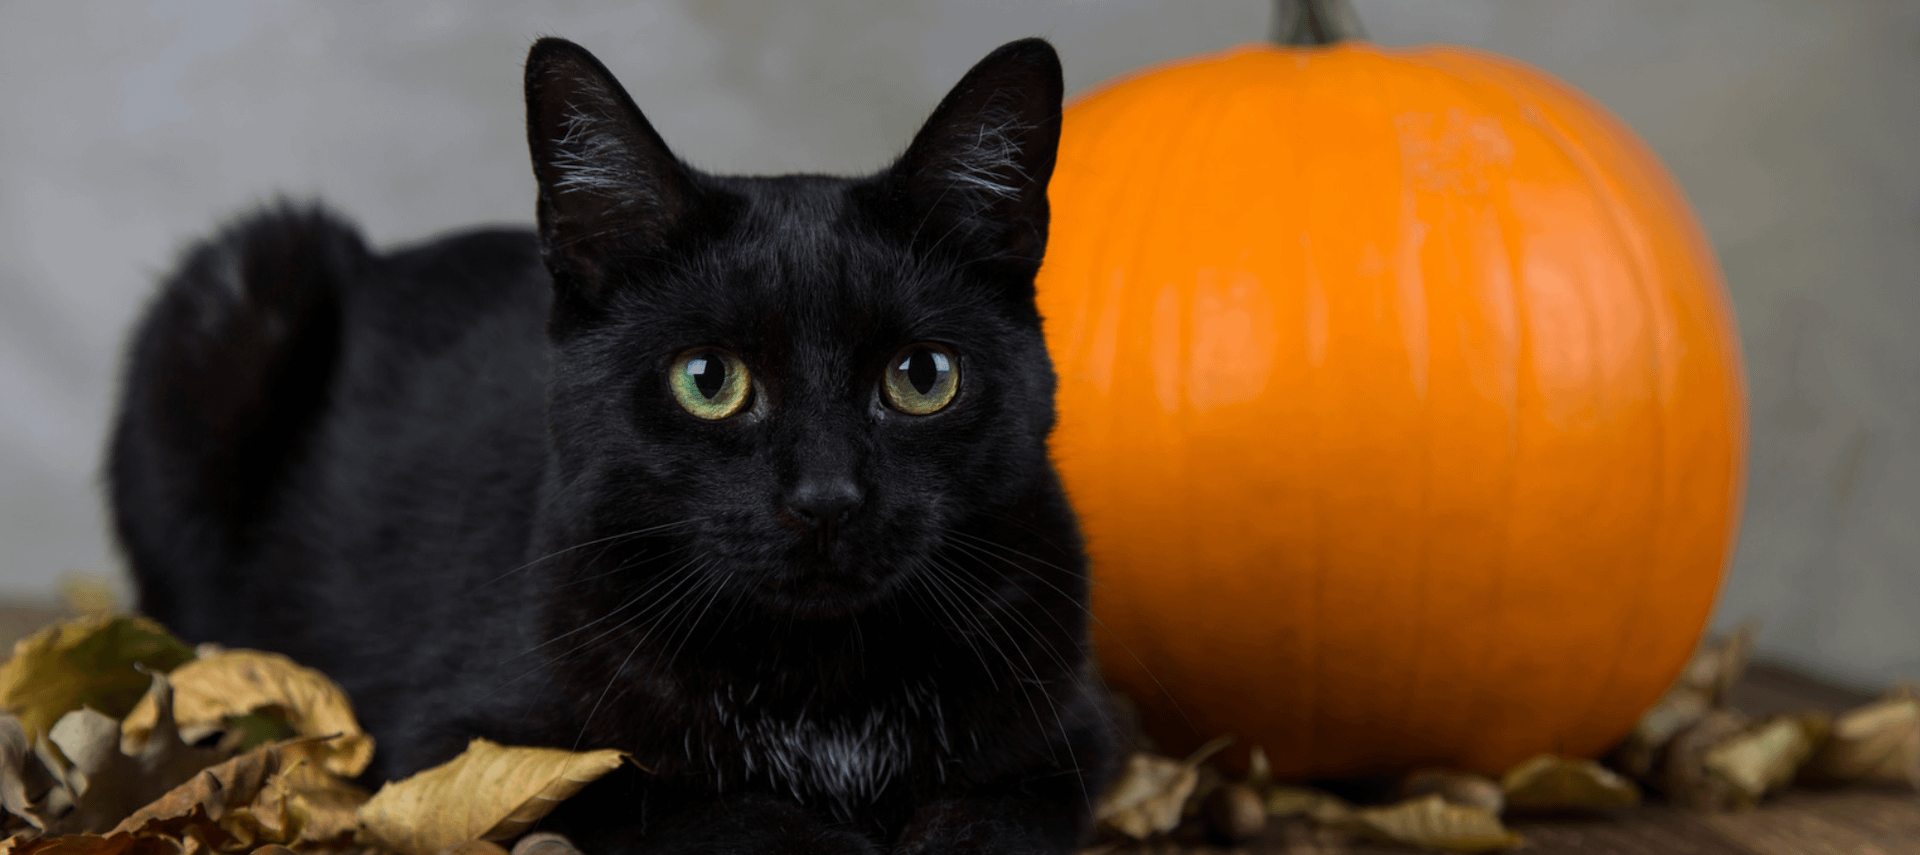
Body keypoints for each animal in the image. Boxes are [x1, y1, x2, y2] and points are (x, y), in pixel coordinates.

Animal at [108, 33, 1121, 853]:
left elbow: (997, 813)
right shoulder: (458, 757)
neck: (823, 681)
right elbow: (700, 805)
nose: (826, 498)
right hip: (239, 287)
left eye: (922, 376)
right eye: (708, 379)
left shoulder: (1077, 731)